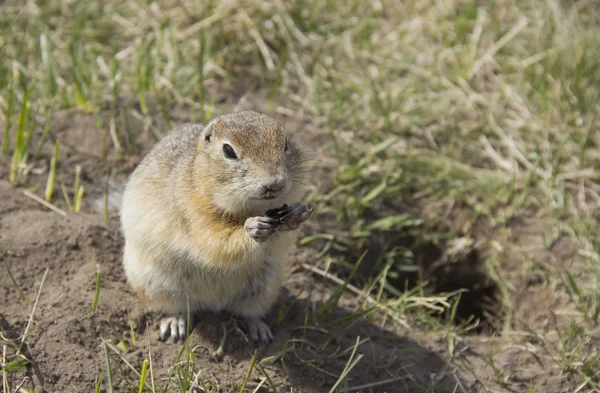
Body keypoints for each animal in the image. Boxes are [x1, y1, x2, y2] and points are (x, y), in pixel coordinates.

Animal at [119, 111, 312, 344]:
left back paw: (259, 330)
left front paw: (297, 214)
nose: (274, 183)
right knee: (177, 308)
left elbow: (283, 240)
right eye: (228, 151)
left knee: (248, 312)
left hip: (265, 287)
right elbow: (216, 242)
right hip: (157, 286)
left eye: (285, 143)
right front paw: (252, 228)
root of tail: (214, 304)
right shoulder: (194, 215)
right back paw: (175, 324)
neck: (250, 209)